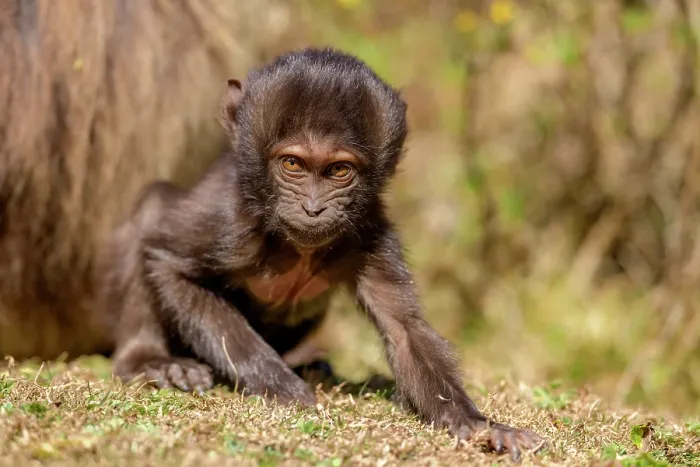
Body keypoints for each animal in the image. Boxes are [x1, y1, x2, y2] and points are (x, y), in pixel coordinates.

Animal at [99, 48, 543, 460]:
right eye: (293, 164)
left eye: (339, 171)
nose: (313, 208)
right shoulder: (229, 224)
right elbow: (170, 266)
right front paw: (279, 386)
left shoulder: (370, 233)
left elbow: (403, 329)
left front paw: (479, 424)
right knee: (152, 207)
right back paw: (149, 361)